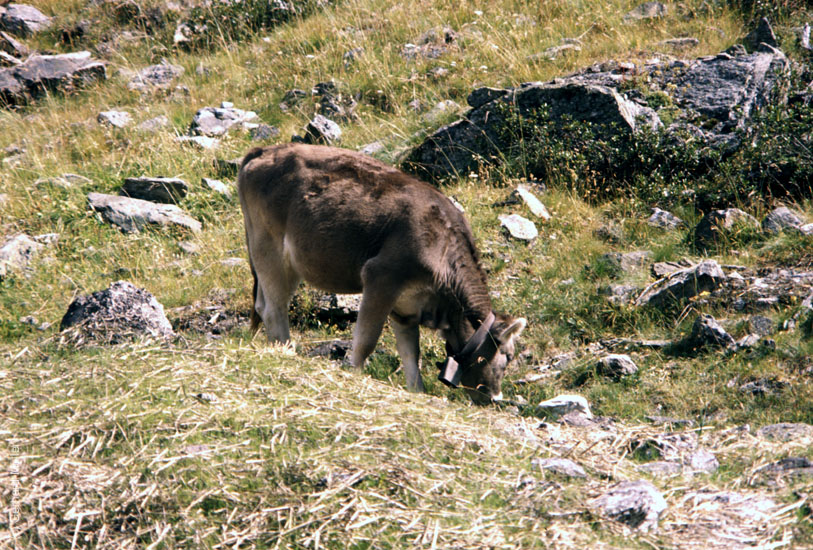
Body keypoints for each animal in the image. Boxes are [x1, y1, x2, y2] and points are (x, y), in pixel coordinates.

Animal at [236, 144, 528, 406]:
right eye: (508, 356)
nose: (495, 398)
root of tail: (265, 150)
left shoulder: (406, 308)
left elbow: (411, 355)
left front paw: (417, 391)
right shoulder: (381, 277)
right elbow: (366, 340)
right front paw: (354, 375)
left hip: (283, 260)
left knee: (262, 304)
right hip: (270, 248)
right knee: (274, 309)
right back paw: (287, 352)